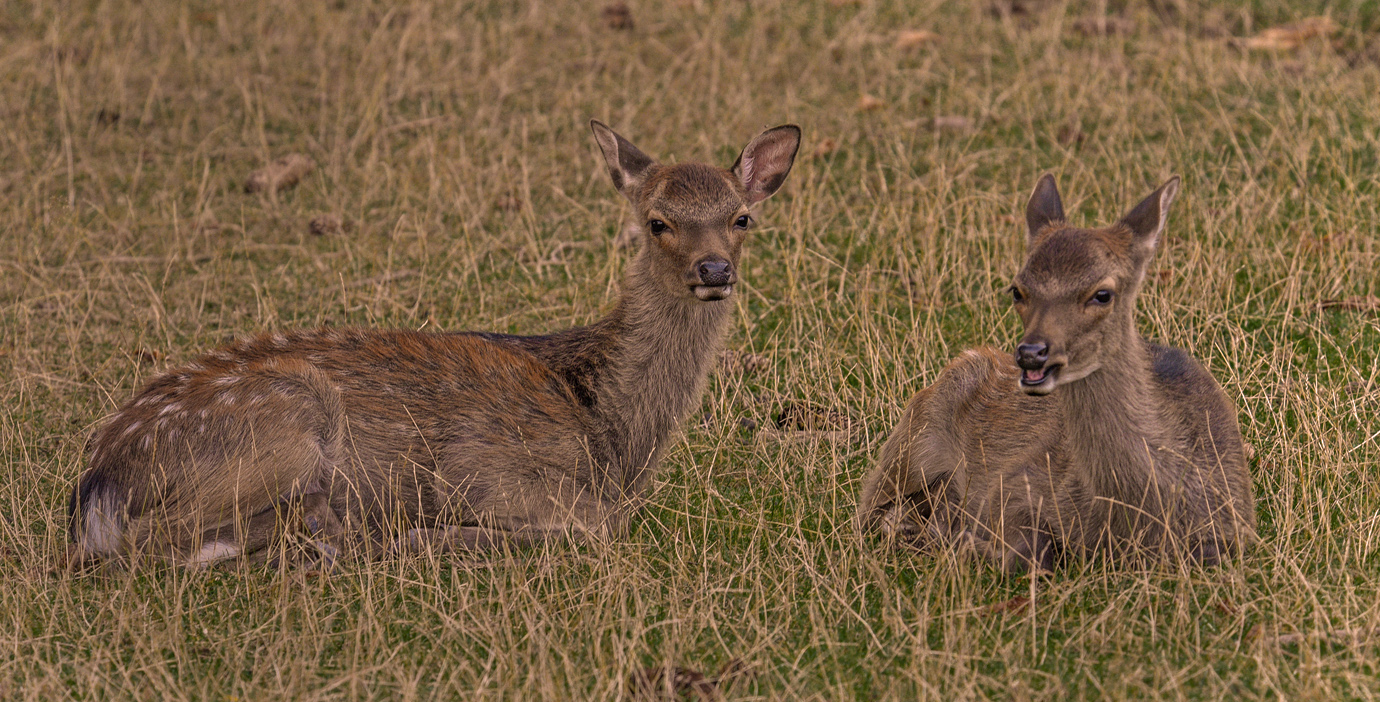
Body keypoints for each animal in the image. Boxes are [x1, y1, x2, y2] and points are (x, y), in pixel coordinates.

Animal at [70, 120, 805, 565]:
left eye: (741, 217)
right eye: (657, 221)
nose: (714, 269)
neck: (610, 430)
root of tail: (99, 478)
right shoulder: (487, 469)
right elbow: (595, 525)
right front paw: (429, 535)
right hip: (288, 419)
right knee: (149, 542)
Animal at [861, 173, 1264, 568]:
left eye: (1102, 293)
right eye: (1017, 290)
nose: (1032, 354)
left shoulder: (1233, 528)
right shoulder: (1013, 482)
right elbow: (1034, 550)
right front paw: (966, 543)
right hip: (913, 441)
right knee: (866, 507)